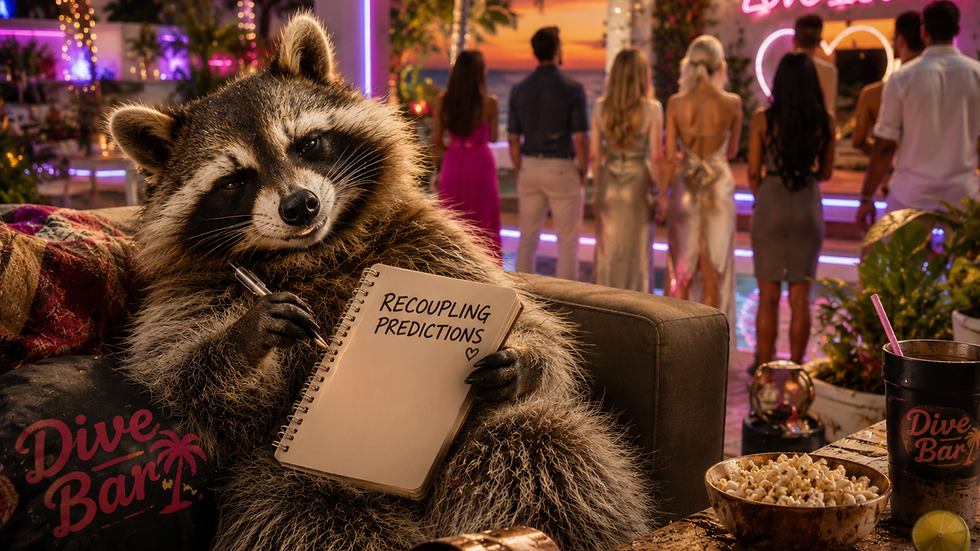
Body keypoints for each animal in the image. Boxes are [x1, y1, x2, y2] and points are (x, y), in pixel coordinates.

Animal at [110, 14, 655, 551]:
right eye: (234, 180)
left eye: (308, 143)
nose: (300, 205)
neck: (314, 251)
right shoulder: (187, 292)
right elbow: (187, 379)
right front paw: (248, 334)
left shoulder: (428, 237)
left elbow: (542, 335)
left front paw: (520, 358)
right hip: (294, 478)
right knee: (309, 517)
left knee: (543, 442)